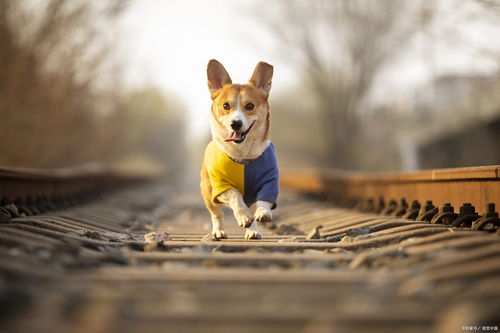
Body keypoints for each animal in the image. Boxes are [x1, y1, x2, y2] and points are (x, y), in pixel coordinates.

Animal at [199, 59, 278, 239]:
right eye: (226, 105)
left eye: (249, 106)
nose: (235, 123)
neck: (243, 154)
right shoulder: (221, 185)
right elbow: (235, 195)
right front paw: (243, 216)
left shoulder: (270, 180)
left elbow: (264, 200)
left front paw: (262, 213)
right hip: (208, 192)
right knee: (217, 214)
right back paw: (219, 231)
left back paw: (253, 231)